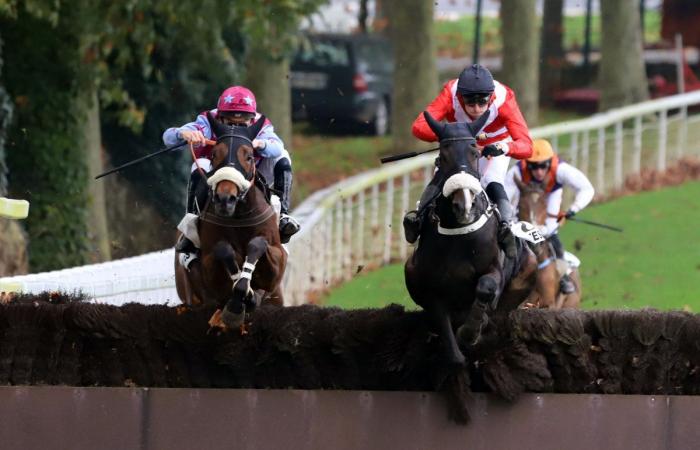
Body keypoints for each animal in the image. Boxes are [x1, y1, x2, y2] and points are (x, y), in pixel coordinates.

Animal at [175, 114, 288, 328]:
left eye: (249, 156)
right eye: (214, 155)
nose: (225, 199)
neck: (239, 218)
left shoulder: (277, 260)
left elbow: (258, 244)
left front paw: (245, 293)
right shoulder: (209, 268)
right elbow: (223, 250)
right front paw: (238, 300)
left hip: (277, 297)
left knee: (282, 158)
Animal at [402, 111, 540, 366]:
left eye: (475, 153)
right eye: (443, 157)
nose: (464, 205)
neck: (458, 233)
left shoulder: (493, 270)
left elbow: (486, 288)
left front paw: (470, 331)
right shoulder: (431, 287)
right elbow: (450, 345)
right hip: (410, 270)